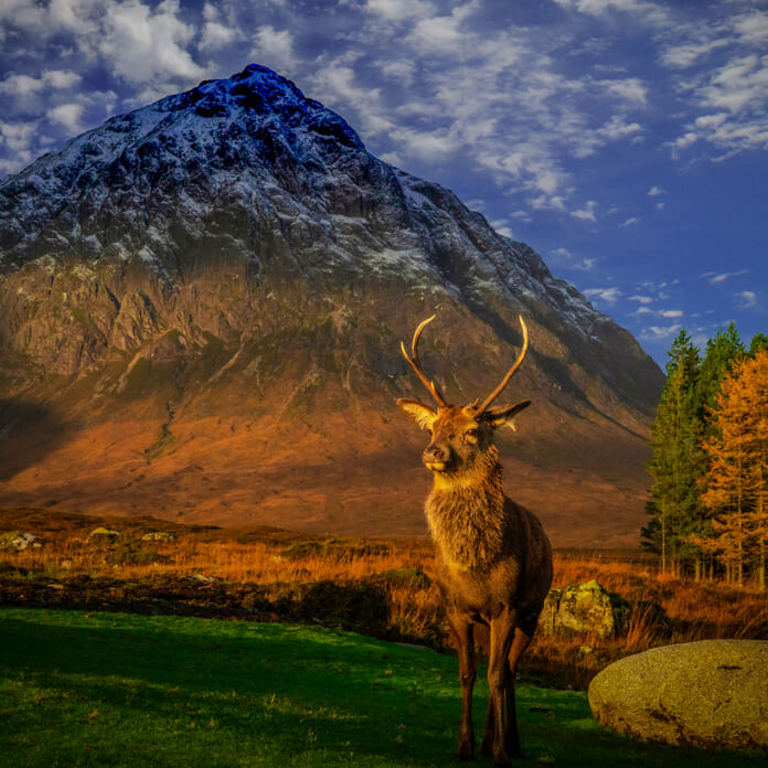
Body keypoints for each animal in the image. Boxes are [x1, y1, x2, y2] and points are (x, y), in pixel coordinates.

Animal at [396, 316, 552, 764]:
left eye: (470, 431)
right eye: (433, 427)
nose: (432, 452)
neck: (475, 565)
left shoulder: (508, 607)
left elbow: (496, 675)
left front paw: (500, 753)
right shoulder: (456, 608)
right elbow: (468, 673)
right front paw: (464, 745)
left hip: (533, 612)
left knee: (510, 671)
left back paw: (510, 742)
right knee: (499, 671)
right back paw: (489, 739)